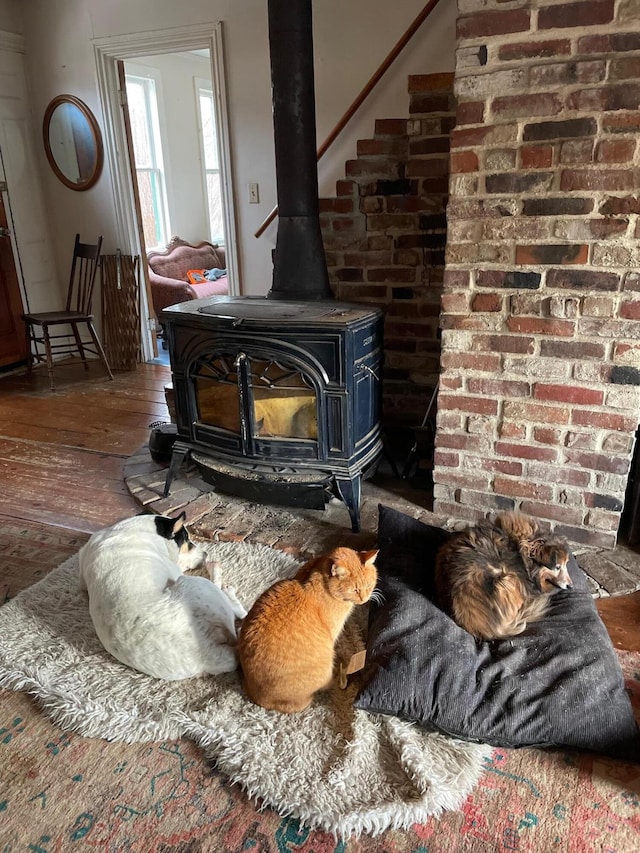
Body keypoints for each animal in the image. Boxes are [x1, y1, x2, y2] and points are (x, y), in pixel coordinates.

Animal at [79, 512, 248, 680]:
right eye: (187, 540)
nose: (205, 554)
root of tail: (206, 656)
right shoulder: (175, 570)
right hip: (195, 584)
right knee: (236, 610)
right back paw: (221, 579)